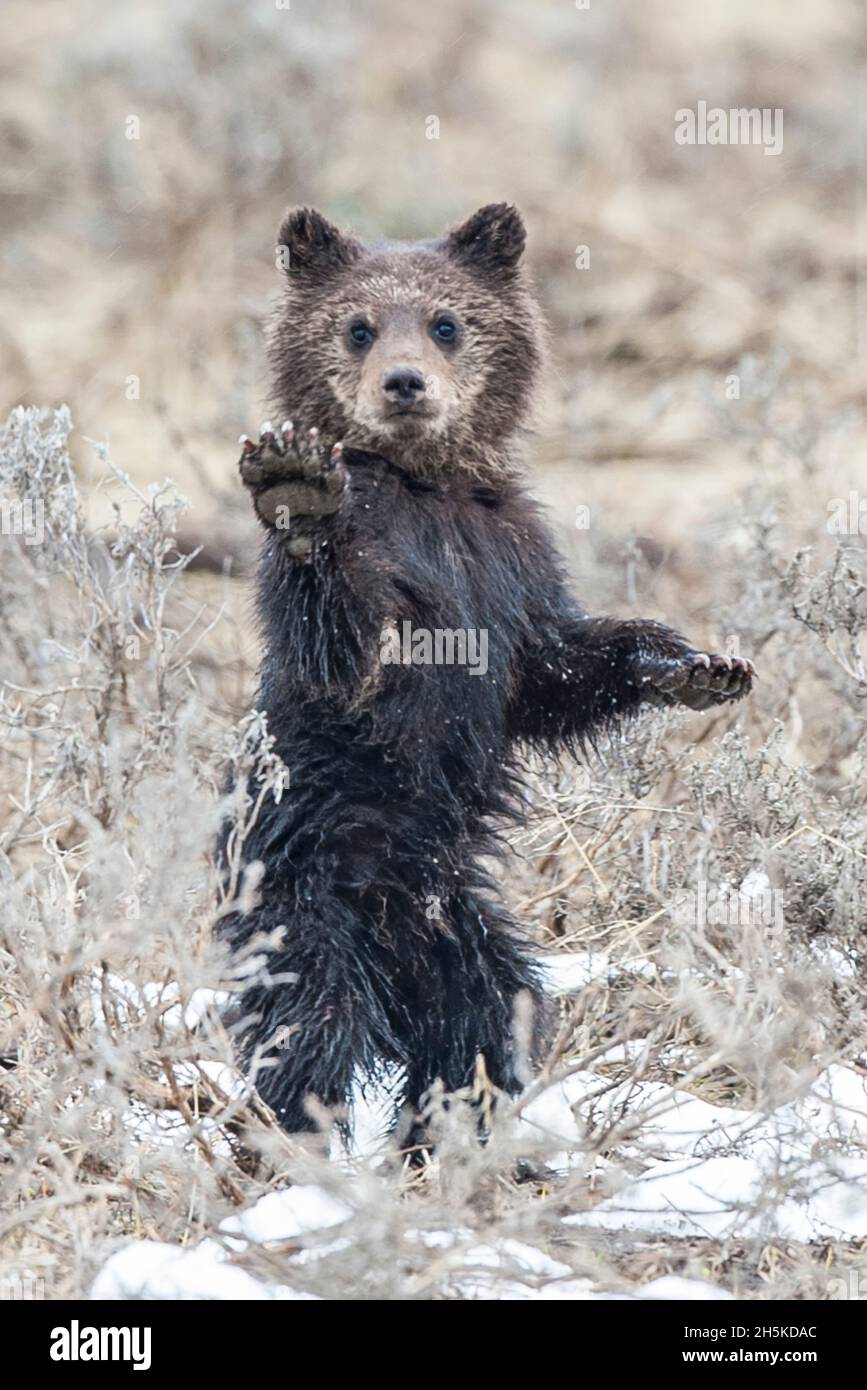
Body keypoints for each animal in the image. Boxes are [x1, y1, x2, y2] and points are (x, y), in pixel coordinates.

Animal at [219, 203, 754, 1144]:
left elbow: (551, 669)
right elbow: (342, 649)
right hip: (297, 884)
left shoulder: (508, 559)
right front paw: (295, 488)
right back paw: (295, 1143)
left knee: (488, 1015)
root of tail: (388, 918)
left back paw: (451, 1135)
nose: (403, 384)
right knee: (310, 1023)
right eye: (358, 327)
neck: (428, 487)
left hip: (455, 923)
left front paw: (699, 664)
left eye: (446, 322)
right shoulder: (390, 572)